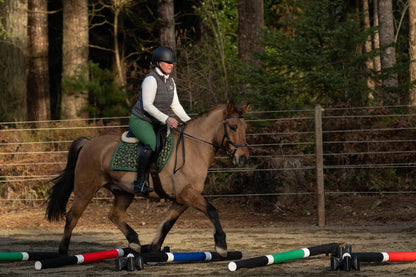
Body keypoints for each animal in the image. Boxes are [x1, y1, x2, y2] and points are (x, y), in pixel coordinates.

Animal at [45, 102, 249, 256]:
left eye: (245, 128)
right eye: (233, 127)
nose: (243, 158)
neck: (194, 148)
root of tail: (88, 143)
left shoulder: (182, 199)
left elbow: (167, 224)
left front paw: (154, 247)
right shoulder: (188, 195)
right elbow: (212, 211)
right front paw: (221, 245)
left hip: (124, 192)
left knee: (115, 215)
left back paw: (135, 242)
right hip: (85, 190)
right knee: (72, 217)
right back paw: (63, 251)